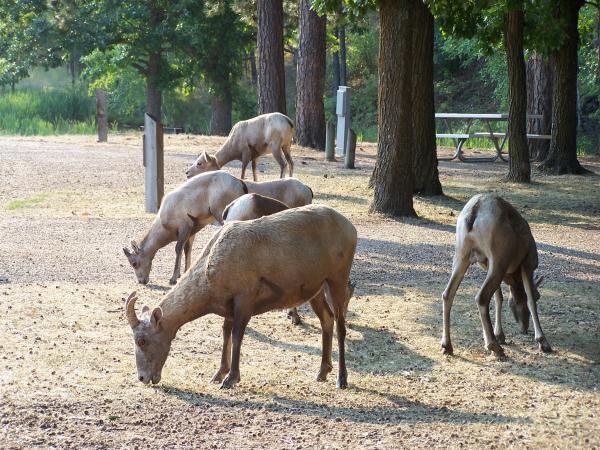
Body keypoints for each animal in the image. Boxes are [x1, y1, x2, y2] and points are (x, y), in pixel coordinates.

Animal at [123, 206, 354, 388]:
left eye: (142, 340)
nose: (143, 377)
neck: (212, 268)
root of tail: (350, 228)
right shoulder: (228, 306)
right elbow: (226, 333)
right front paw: (218, 374)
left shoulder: (244, 299)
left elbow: (236, 336)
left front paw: (230, 379)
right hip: (316, 288)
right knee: (327, 319)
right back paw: (322, 372)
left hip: (337, 278)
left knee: (341, 325)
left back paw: (341, 380)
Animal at [440, 195, 552, 356]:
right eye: (539, 296)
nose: (524, 328)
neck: (513, 276)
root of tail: (474, 210)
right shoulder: (528, 263)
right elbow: (530, 300)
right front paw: (543, 342)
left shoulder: (488, 265)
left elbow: (499, 297)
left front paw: (500, 335)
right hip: (499, 258)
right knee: (481, 297)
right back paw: (494, 347)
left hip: (462, 254)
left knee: (448, 293)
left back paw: (447, 345)